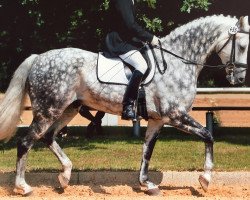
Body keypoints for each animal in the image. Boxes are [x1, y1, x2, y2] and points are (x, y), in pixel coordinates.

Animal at [0, 15, 249, 195]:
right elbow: (208, 135)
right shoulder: (175, 115)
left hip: (68, 108)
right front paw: (205, 180)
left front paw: (146, 184)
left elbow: (147, 150)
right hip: (48, 110)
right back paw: (23, 187)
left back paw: (65, 176)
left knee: (49, 137)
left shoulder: (158, 120)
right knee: (25, 142)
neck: (176, 62)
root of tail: (38, 58)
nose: (239, 79)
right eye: (243, 46)